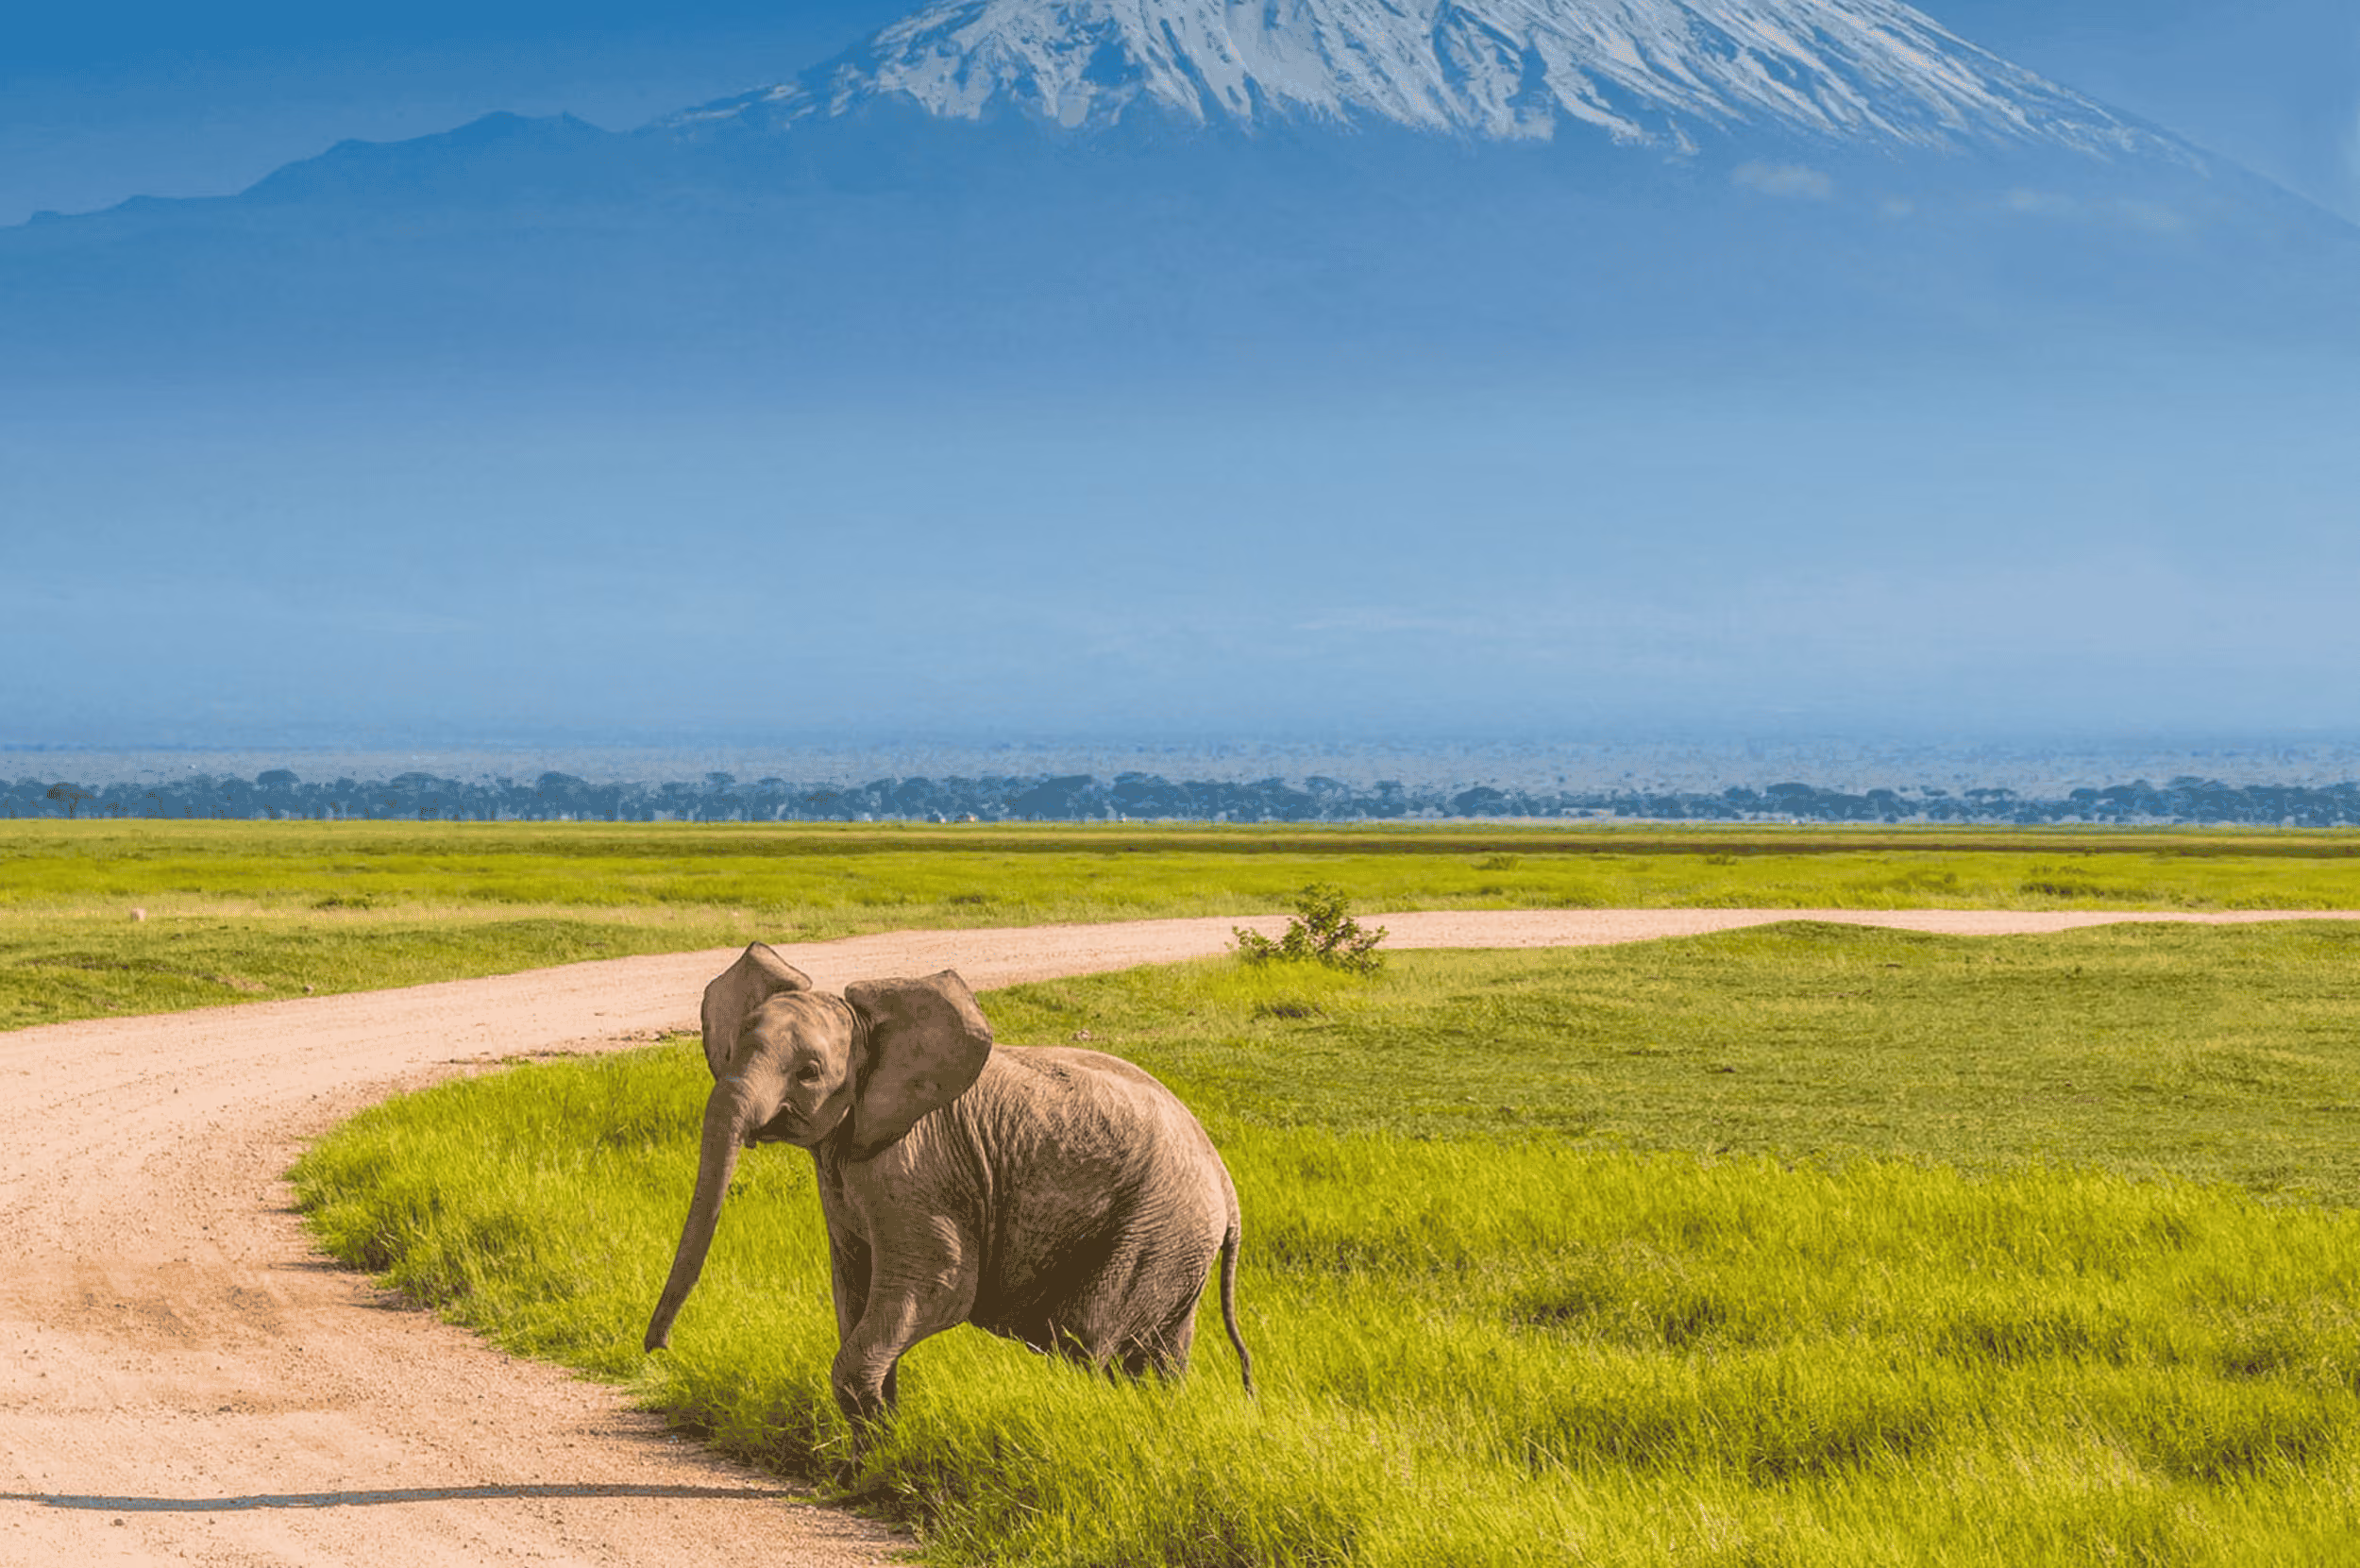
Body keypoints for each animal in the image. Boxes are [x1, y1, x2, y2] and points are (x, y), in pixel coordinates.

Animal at [643, 942, 1254, 1422]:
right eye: (735, 1048)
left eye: (810, 1073)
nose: (658, 1349)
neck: (875, 1040)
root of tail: (1227, 1190)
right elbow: (855, 1287)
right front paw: (878, 1445)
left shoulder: (920, 1164)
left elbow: (940, 1286)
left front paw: (881, 1446)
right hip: (1176, 1246)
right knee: (1159, 1358)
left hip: (1153, 1230)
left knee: (1085, 1339)